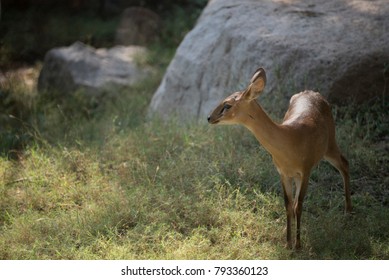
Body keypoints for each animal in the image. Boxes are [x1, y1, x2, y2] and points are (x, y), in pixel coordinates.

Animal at [208, 68, 350, 249]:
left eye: (227, 105)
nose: (209, 118)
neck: (290, 139)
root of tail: (312, 92)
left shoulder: (306, 170)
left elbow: (299, 205)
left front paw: (298, 245)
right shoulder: (283, 173)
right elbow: (288, 205)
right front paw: (288, 244)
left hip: (330, 145)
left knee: (345, 163)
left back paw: (348, 212)